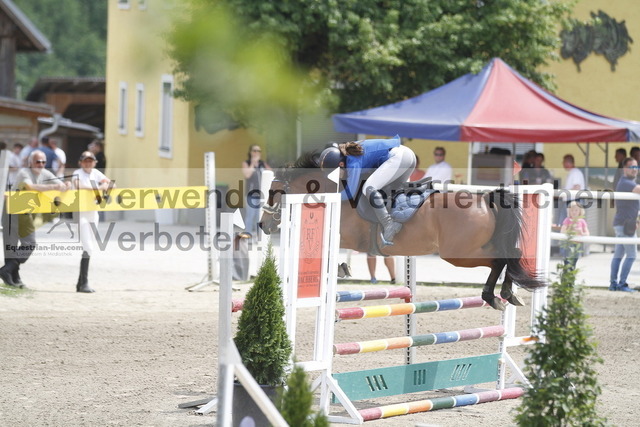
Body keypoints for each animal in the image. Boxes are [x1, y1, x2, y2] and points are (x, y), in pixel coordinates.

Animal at [260, 153, 544, 310]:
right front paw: (342, 268)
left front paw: (341, 268)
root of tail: (484, 199)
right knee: (513, 253)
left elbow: (332, 248)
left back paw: (493, 296)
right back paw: (508, 294)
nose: (262, 225)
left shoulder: (347, 235)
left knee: (500, 259)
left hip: (458, 254)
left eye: (274, 191)